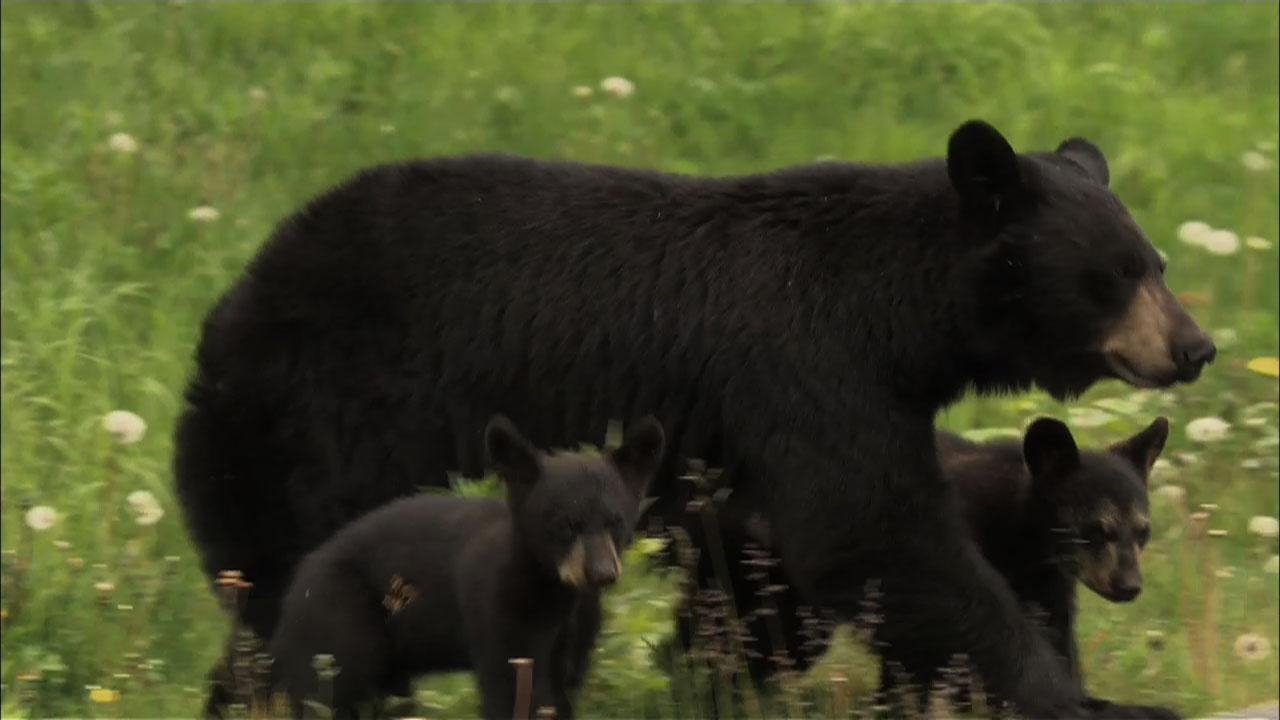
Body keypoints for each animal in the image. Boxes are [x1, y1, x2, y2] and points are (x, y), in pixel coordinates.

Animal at [259, 415, 660, 717]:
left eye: (616, 521)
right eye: (563, 524)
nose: (601, 573)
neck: (555, 592)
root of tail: (293, 590)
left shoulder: (578, 630)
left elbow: (563, 690)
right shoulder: (499, 607)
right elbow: (513, 687)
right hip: (340, 615)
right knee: (328, 687)